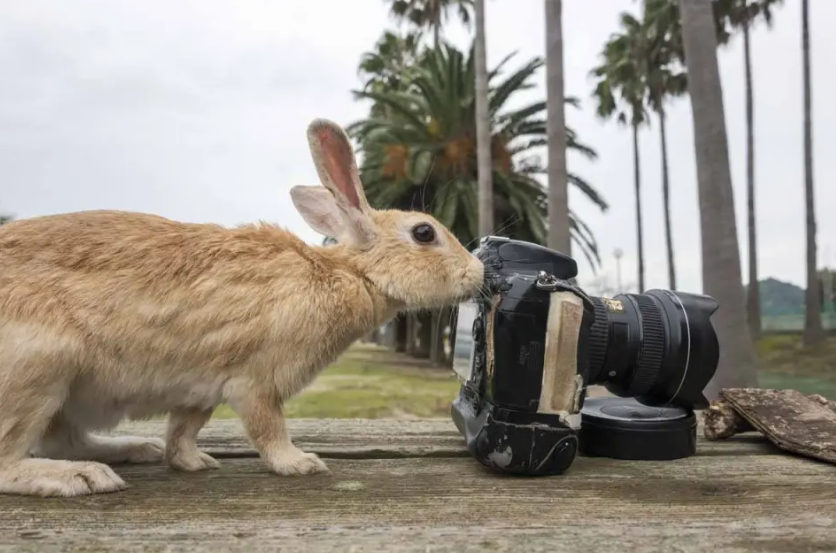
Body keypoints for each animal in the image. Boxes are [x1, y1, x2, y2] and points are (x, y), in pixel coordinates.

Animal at [0, 116, 484, 496]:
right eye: (424, 233)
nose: (478, 272)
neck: (348, 274)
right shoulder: (255, 382)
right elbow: (268, 429)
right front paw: (300, 463)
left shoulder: (201, 388)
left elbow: (184, 431)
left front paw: (192, 462)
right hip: (40, 367)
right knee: (10, 458)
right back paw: (83, 477)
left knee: (63, 439)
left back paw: (133, 449)